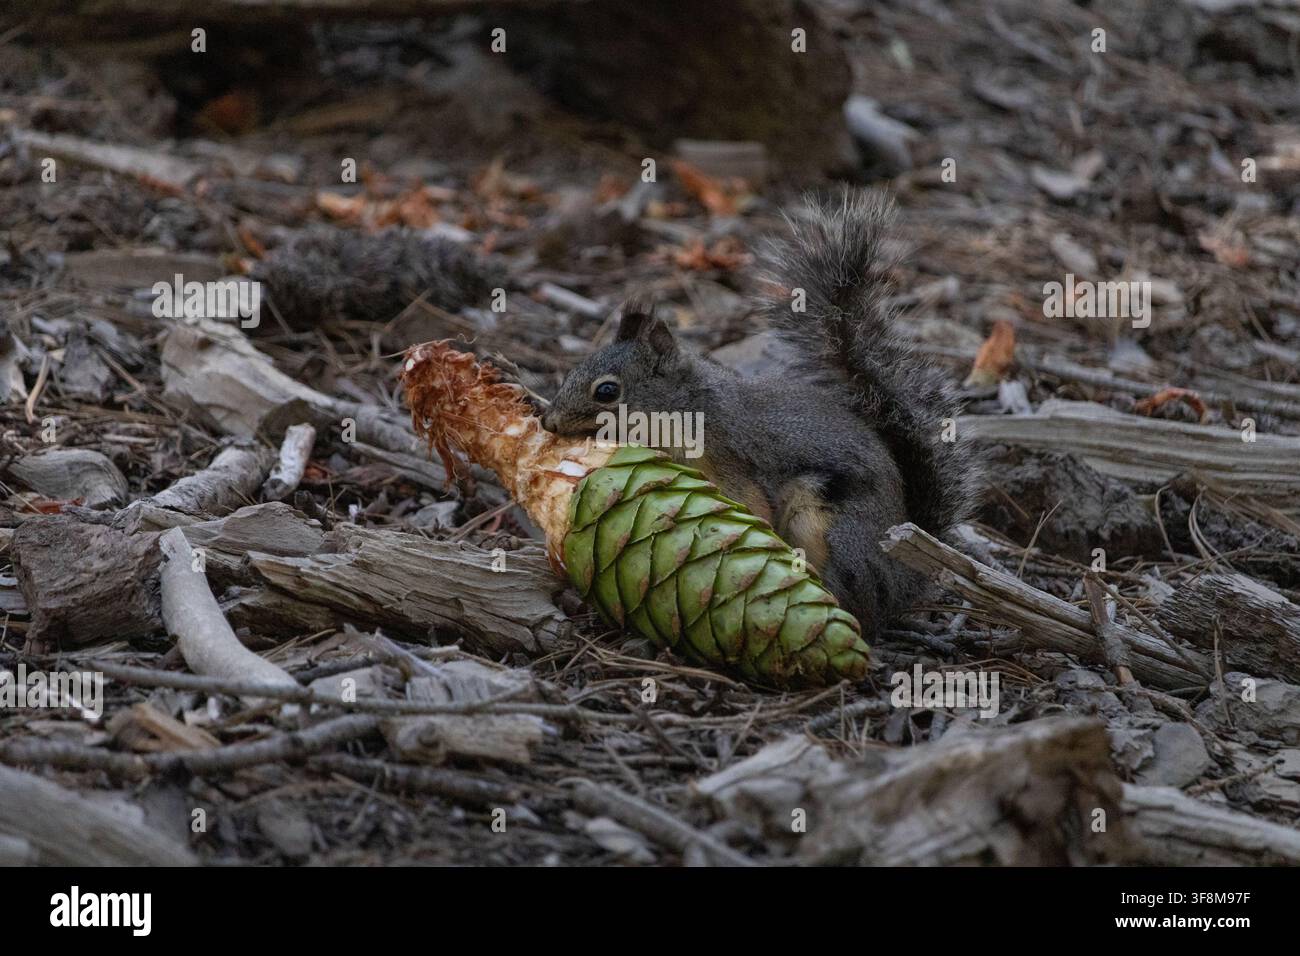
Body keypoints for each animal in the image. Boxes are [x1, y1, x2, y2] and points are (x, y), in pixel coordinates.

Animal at [540, 189, 980, 635]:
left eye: (607, 391)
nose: (549, 422)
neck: (688, 408)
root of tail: (902, 583)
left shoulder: (727, 460)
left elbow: (753, 507)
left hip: (824, 523)